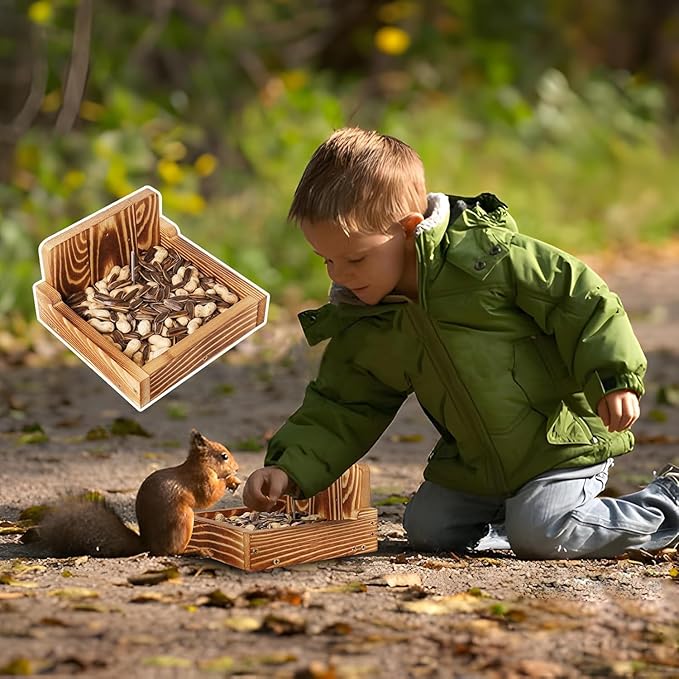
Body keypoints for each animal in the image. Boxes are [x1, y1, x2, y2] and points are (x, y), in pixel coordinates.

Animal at [27, 429, 241, 557]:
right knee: (172, 552)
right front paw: (229, 480)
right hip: (183, 520)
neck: (199, 465)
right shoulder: (200, 480)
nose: (238, 468)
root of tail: (148, 545)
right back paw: (197, 550)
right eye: (224, 456)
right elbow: (208, 496)